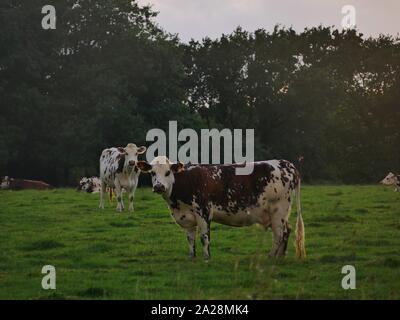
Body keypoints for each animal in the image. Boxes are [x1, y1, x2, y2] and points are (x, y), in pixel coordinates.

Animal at [136, 156, 304, 262]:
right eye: (152, 173)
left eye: (168, 172)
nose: (159, 186)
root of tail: (285, 163)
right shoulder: (186, 217)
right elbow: (190, 239)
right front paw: (191, 257)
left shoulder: (203, 212)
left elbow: (204, 237)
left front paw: (206, 258)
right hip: (278, 213)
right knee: (286, 231)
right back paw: (280, 257)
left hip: (279, 209)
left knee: (279, 234)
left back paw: (271, 256)